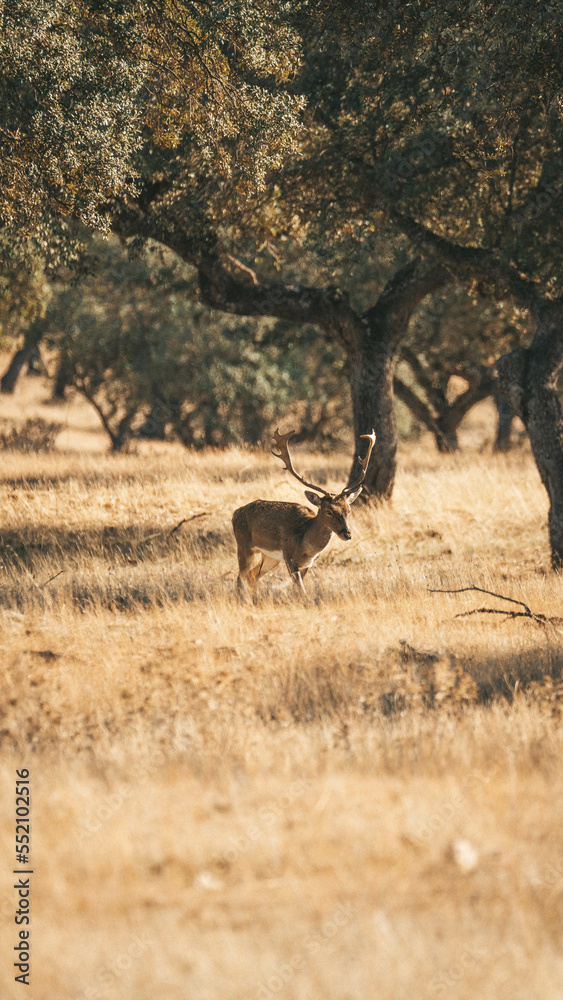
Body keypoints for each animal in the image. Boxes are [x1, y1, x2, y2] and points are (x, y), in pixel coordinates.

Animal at [232, 428, 376, 598]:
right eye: (329, 511)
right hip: (244, 544)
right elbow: (301, 590)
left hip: (269, 557)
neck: (307, 547)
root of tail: (235, 513)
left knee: (252, 575)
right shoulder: (289, 557)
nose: (347, 534)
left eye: (348, 510)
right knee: (240, 577)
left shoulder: (308, 564)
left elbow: (297, 590)